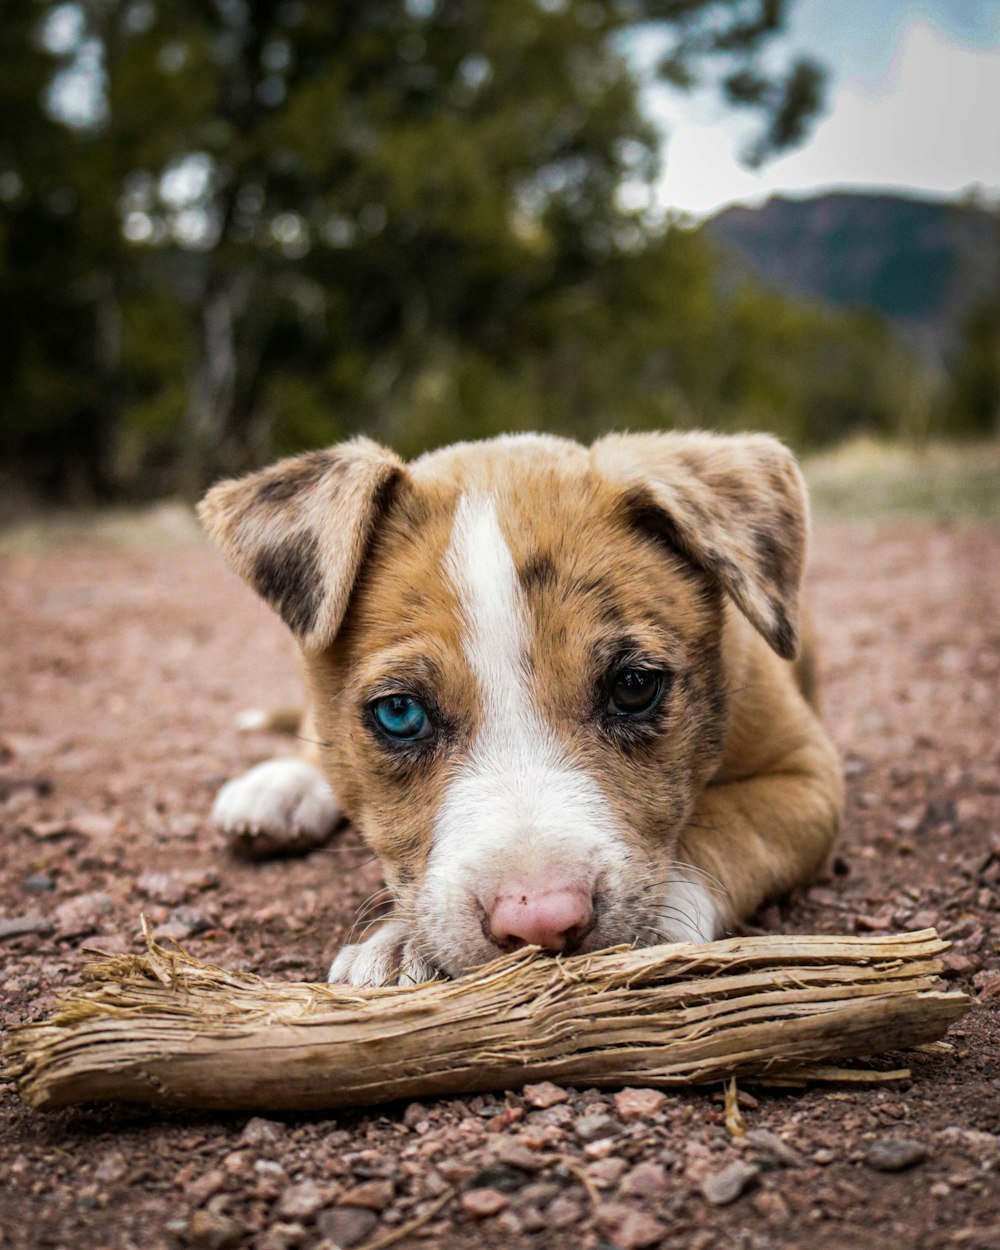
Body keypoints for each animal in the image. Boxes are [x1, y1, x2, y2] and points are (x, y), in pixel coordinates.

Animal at [201, 430, 845, 985]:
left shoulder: (806, 779)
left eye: (635, 686)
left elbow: (723, 829)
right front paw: (403, 943)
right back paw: (280, 786)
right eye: (400, 713)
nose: (540, 921)